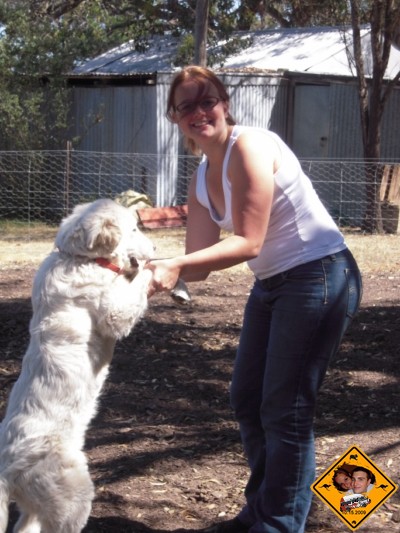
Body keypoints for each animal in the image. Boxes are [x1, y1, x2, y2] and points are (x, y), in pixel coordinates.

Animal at [0, 199, 155, 533]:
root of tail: (6, 470)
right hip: (72, 496)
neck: (76, 258)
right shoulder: (114, 313)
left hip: (38, 504)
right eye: (134, 229)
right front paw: (149, 269)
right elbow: (136, 286)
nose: (155, 247)